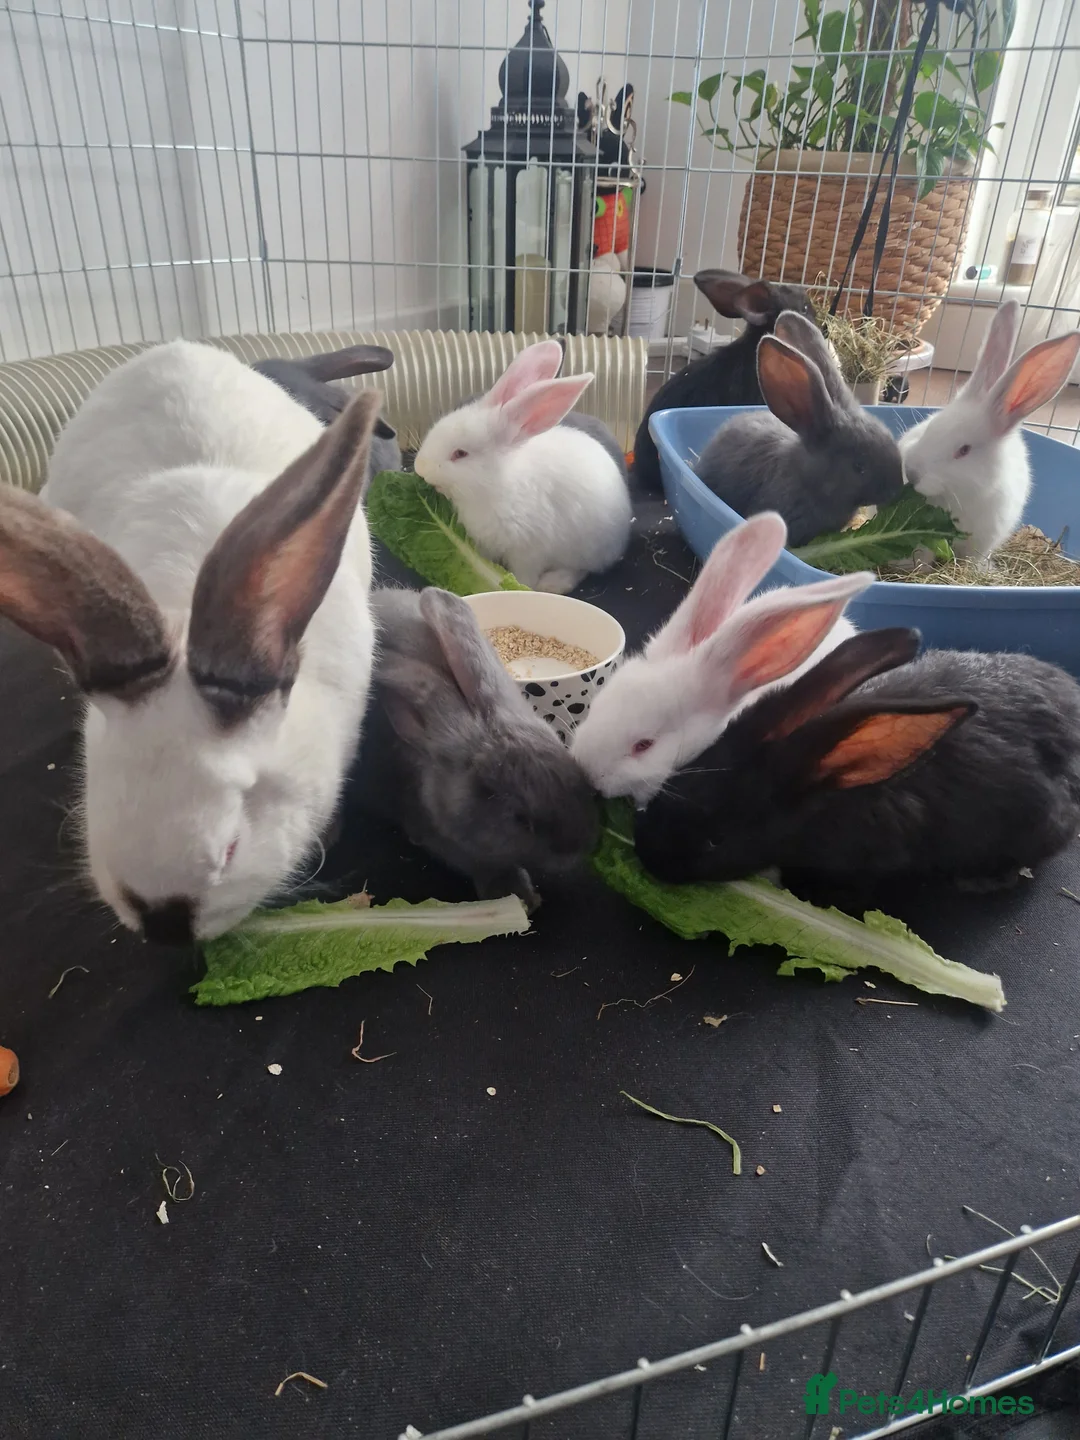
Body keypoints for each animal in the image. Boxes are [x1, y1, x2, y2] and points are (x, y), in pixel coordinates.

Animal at [413, 340, 632, 594]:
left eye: (460, 454)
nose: (420, 468)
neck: (492, 486)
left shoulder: (529, 549)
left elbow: (525, 573)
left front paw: (520, 587)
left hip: (586, 550)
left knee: (580, 569)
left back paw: (553, 583)